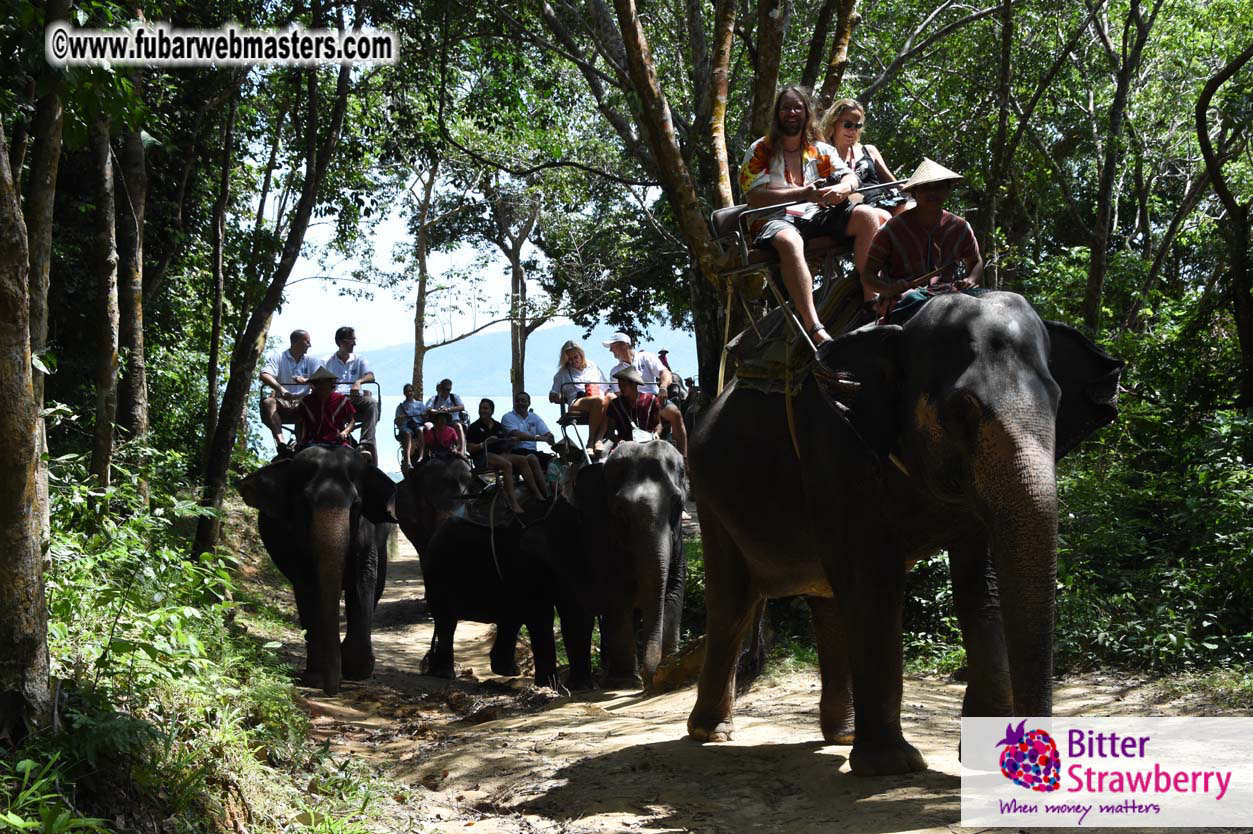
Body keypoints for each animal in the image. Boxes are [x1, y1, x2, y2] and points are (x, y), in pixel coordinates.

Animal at [238, 445, 398, 696]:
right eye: (304, 504)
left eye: (356, 504)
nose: (333, 690)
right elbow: (307, 584)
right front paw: (315, 678)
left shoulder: (367, 529)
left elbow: (363, 577)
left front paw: (356, 671)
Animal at [685, 291, 1122, 776]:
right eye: (962, 408)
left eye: (1058, 401)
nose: (1037, 762)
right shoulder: (836, 448)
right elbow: (872, 582)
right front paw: (892, 766)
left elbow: (981, 587)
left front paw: (978, 756)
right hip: (710, 495)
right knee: (734, 604)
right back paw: (711, 733)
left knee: (826, 600)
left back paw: (842, 735)